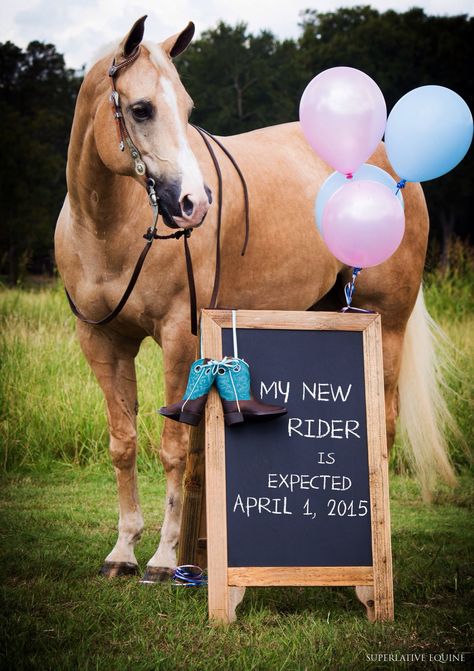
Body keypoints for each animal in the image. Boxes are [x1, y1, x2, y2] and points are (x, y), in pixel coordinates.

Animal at [55, 15, 456, 616]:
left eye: (188, 108)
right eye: (142, 108)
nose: (194, 204)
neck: (108, 227)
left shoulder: (179, 336)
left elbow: (173, 449)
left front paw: (162, 561)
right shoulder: (102, 342)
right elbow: (122, 445)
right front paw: (123, 552)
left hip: (386, 322)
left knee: (381, 426)